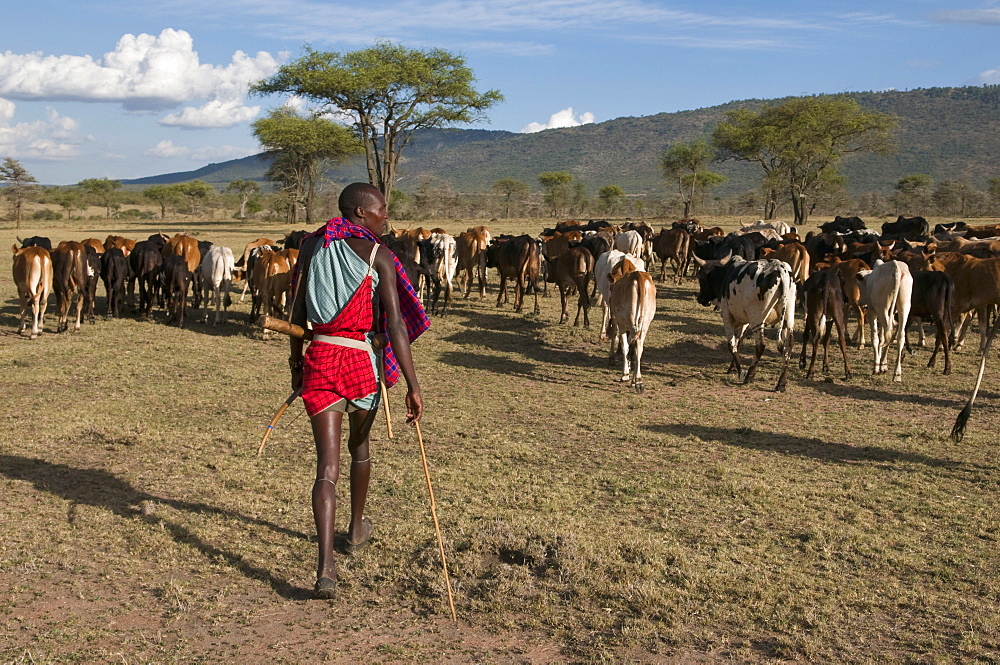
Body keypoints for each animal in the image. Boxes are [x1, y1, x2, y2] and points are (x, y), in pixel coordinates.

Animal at [696, 253, 796, 390]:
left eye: (701, 279)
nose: (699, 298)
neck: (725, 274)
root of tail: (780, 269)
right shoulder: (744, 321)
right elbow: (739, 343)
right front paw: (732, 368)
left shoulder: (726, 315)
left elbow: (731, 344)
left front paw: (740, 371)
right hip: (788, 318)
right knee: (789, 345)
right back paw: (781, 383)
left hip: (757, 320)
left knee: (760, 345)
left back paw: (750, 375)